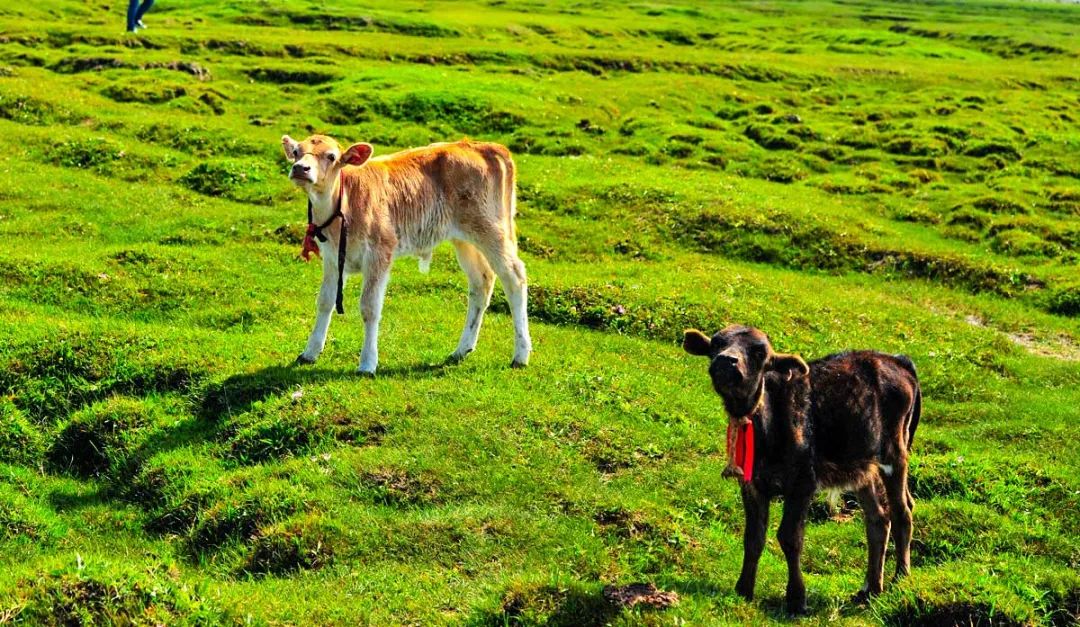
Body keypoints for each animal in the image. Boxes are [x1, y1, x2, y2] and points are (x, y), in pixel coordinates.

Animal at [280, 135, 529, 371]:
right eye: (297, 152)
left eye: (331, 156)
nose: (301, 168)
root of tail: (486, 146)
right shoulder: (332, 258)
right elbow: (325, 301)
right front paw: (310, 352)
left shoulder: (380, 252)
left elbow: (369, 307)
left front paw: (367, 363)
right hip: (463, 239)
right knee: (482, 282)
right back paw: (462, 349)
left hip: (491, 229)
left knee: (514, 277)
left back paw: (521, 355)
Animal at [682, 325, 920, 612]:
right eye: (717, 343)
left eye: (760, 352)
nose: (727, 360)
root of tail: (898, 361)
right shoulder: (752, 484)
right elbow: (753, 537)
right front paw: (744, 589)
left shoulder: (803, 482)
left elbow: (790, 537)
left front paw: (796, 598)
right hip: (863, 467)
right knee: (878, 518)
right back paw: (869, 589)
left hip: (895, 453)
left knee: (902, 511)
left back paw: (901, 578)